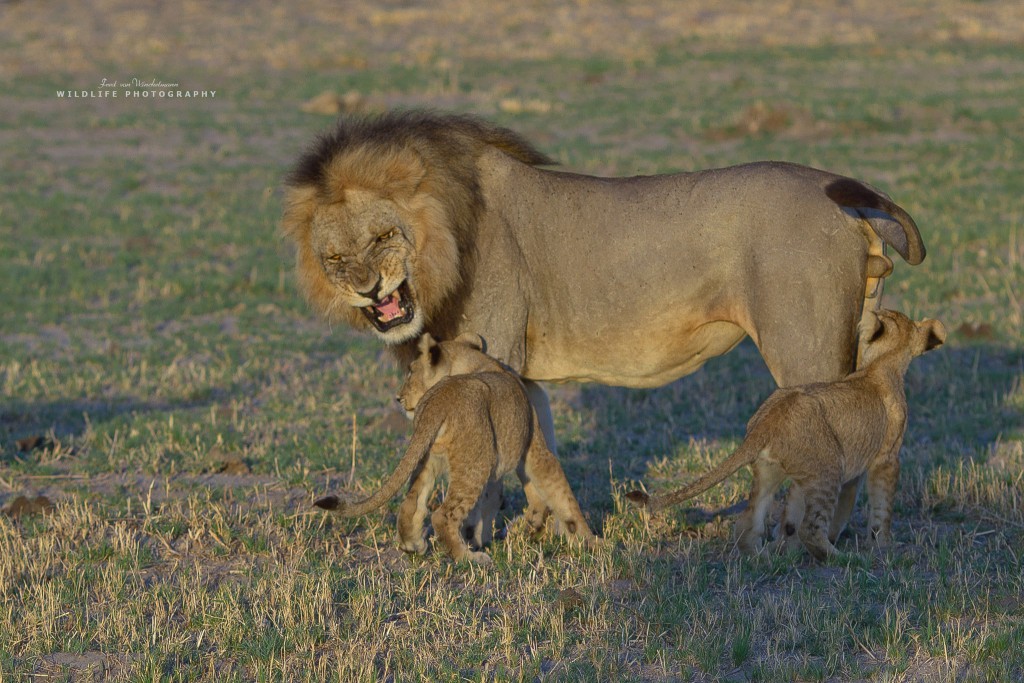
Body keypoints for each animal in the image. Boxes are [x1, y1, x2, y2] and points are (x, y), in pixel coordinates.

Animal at [282, 111, 929, 458]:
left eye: (383, 236)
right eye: (334, 257)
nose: (367, 289)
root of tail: (842, 193)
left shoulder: (489, 359)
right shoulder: (519, 372)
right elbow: (535, 452)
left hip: (806, 351)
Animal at [315, 333, 598, 565]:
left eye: (411, 372)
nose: (398, 398)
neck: (474, 362)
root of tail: (440, 400)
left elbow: (533, 494)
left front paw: (534, 527)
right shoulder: (533, 447)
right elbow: (561, 492)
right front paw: (591, 541)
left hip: (427, 458)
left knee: (412, 504)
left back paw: (412, 546)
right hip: (477, 461)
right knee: (442, 515)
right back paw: (469, 558)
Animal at [626, 309, 946, 561]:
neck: (880, 364)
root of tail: (767, 421)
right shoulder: (887, 457)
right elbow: (883, 507)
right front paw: (884, 546)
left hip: (768, 471)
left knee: (747, 521)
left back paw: (762, 559)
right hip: (829, 466)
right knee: (810, 529)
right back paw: (843, 559)